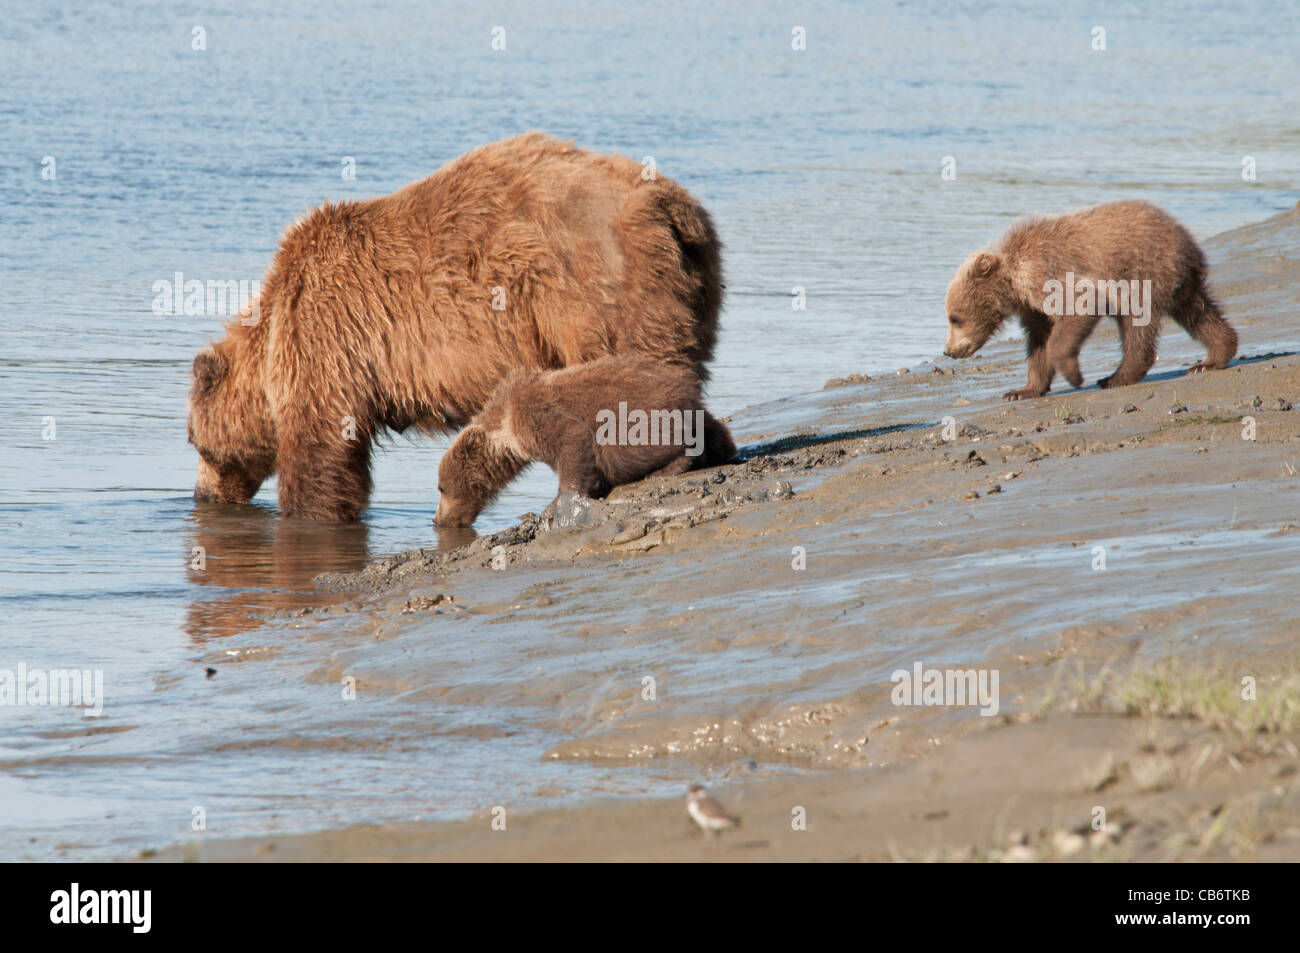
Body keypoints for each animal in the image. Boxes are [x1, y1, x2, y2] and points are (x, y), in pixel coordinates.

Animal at [189, 131, 728, 520]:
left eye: (194, 439)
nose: (200, 496)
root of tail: (670, 206)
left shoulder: (327, 335)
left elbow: (320, 449)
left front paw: (309, 514)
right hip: (695, 286)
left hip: (591, 288)